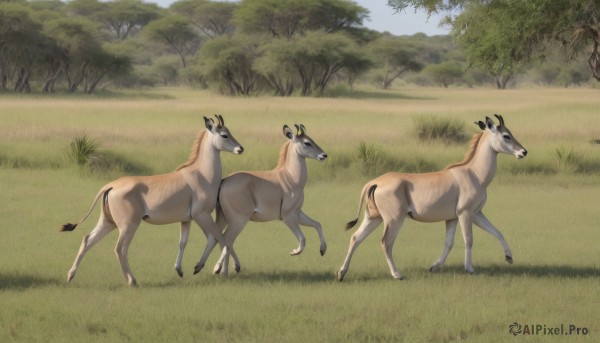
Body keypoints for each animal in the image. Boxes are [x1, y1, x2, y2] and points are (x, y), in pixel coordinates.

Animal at [61, 115, 244, 288]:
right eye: (224, 134)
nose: (240, 149)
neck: (201, 173)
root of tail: (111, 185)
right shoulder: (202, 215)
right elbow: (221, 239)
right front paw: (223, 268)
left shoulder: (186, 220)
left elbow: (184, 242)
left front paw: (181, 269)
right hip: (129, 225)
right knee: (120, 249)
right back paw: (132, 281)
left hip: (108, 223)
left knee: (87, 240)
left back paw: (70, 275)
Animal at [192, 123, 326, 276]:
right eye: (307, 142)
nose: (324, 155)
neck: (289, 177)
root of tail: (224, 181)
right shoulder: (289, 217)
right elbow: (303, 239)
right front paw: (294, 252)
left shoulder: (298, 214)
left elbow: (318, 224)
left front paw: (323, 250)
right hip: (238, 220)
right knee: (226, 240)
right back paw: (221, 270)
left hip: (224, 219)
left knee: (216, 238)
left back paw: (206, 268)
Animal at [340, 115, 528, 282]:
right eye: (506, 135)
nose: (523, 152)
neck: (474, 173)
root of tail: (376, 182)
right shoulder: (466, 214)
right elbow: (468, 239)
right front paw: (470, 268)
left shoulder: (465, 216)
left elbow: (485, 234)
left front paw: (508, 257)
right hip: (394, 220)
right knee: (386, 243)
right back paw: (397, 274)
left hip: (374, 218)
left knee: (355, 238)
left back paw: (342, 273)